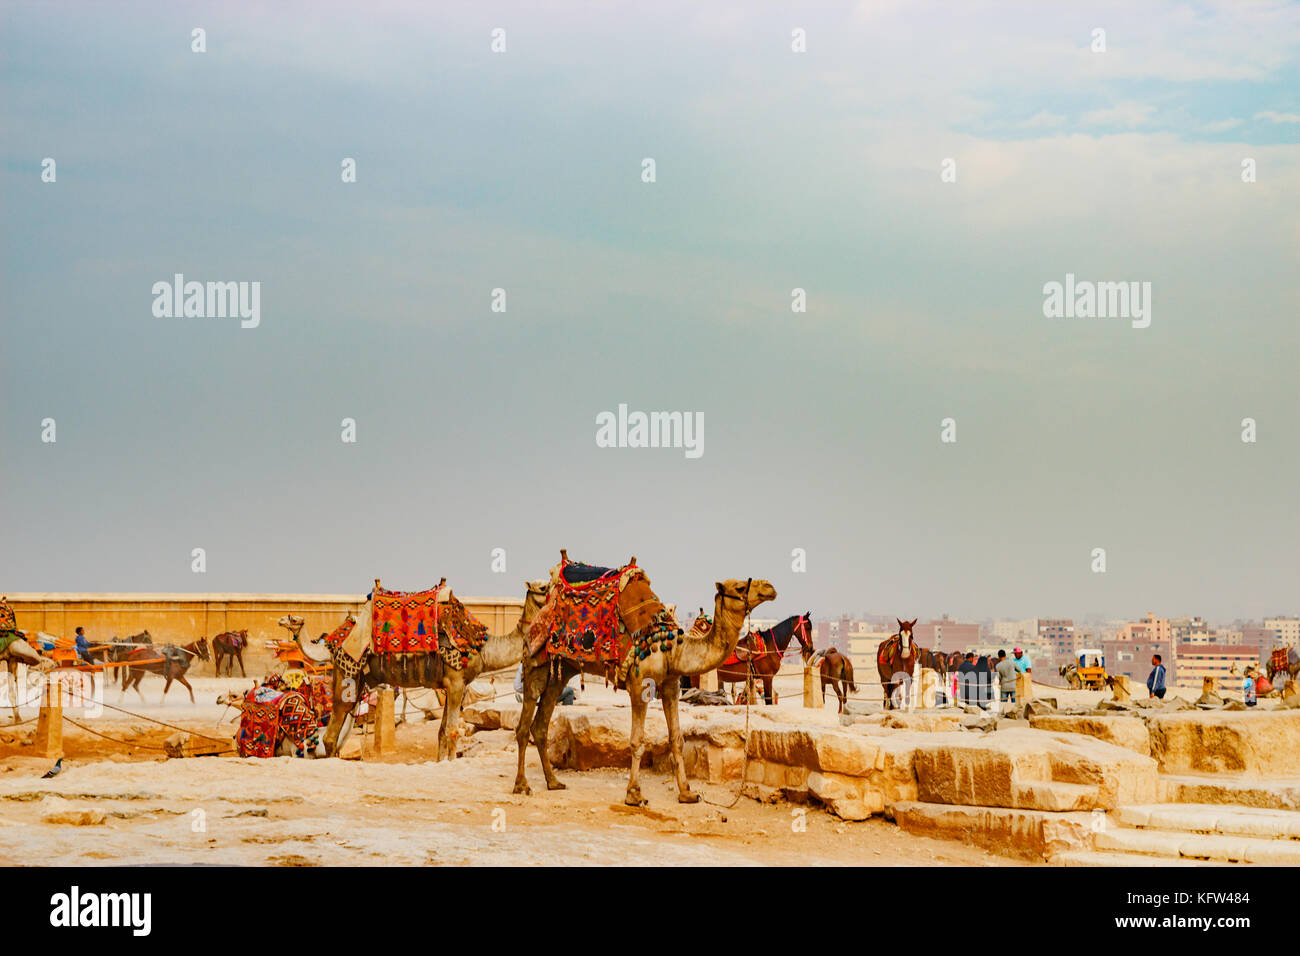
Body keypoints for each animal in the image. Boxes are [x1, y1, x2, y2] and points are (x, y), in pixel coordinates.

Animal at [514, 556, 780, 811]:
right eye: (740, 587)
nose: (770, 587)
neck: (673, 649)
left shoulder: (671, 685)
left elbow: (677, 739)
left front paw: (687, 794)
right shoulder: (640, 685)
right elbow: (637, 741)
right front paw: (634, 795)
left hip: (563, 668)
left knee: (541, 723)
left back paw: (553, 782)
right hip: (535, 660)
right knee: (525, 719)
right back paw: (522, 785)